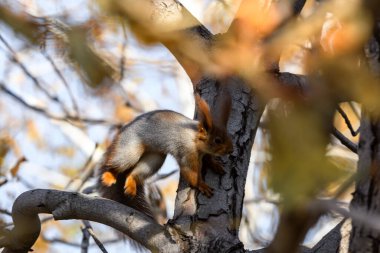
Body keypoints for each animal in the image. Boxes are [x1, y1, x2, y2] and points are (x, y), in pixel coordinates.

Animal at [97, 94, 232, 216]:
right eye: (217, 140)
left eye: (227, 135)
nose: (231, 150)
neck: (194, 138)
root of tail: (123, 130)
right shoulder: (186, 153)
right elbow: (190, 173)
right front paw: (202, 185)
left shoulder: (204, 153)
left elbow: (208, 159)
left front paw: (215, 165)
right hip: (130, 149)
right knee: (114, 164)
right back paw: (109, 175)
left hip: (154, 159)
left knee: (132, 173)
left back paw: (131, 186)